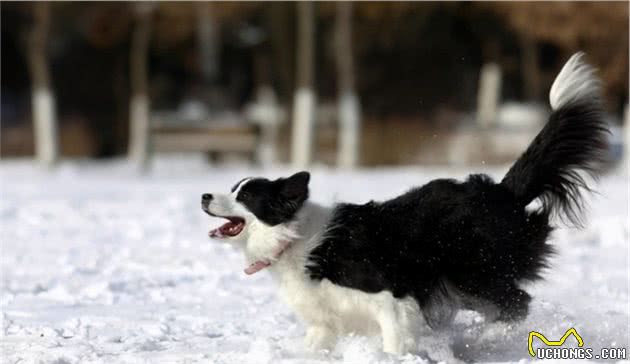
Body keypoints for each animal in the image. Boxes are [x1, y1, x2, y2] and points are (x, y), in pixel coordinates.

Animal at [200, 54, 608, 356]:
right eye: (233, 187)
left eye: (245, 195)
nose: (204, 196)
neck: (294, 238)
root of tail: (502, 191)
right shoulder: (324, 320)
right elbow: (317, 343)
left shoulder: (390, 298)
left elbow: (394, 339)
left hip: (473, 269)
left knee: (517, 303)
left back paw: (482, 342)